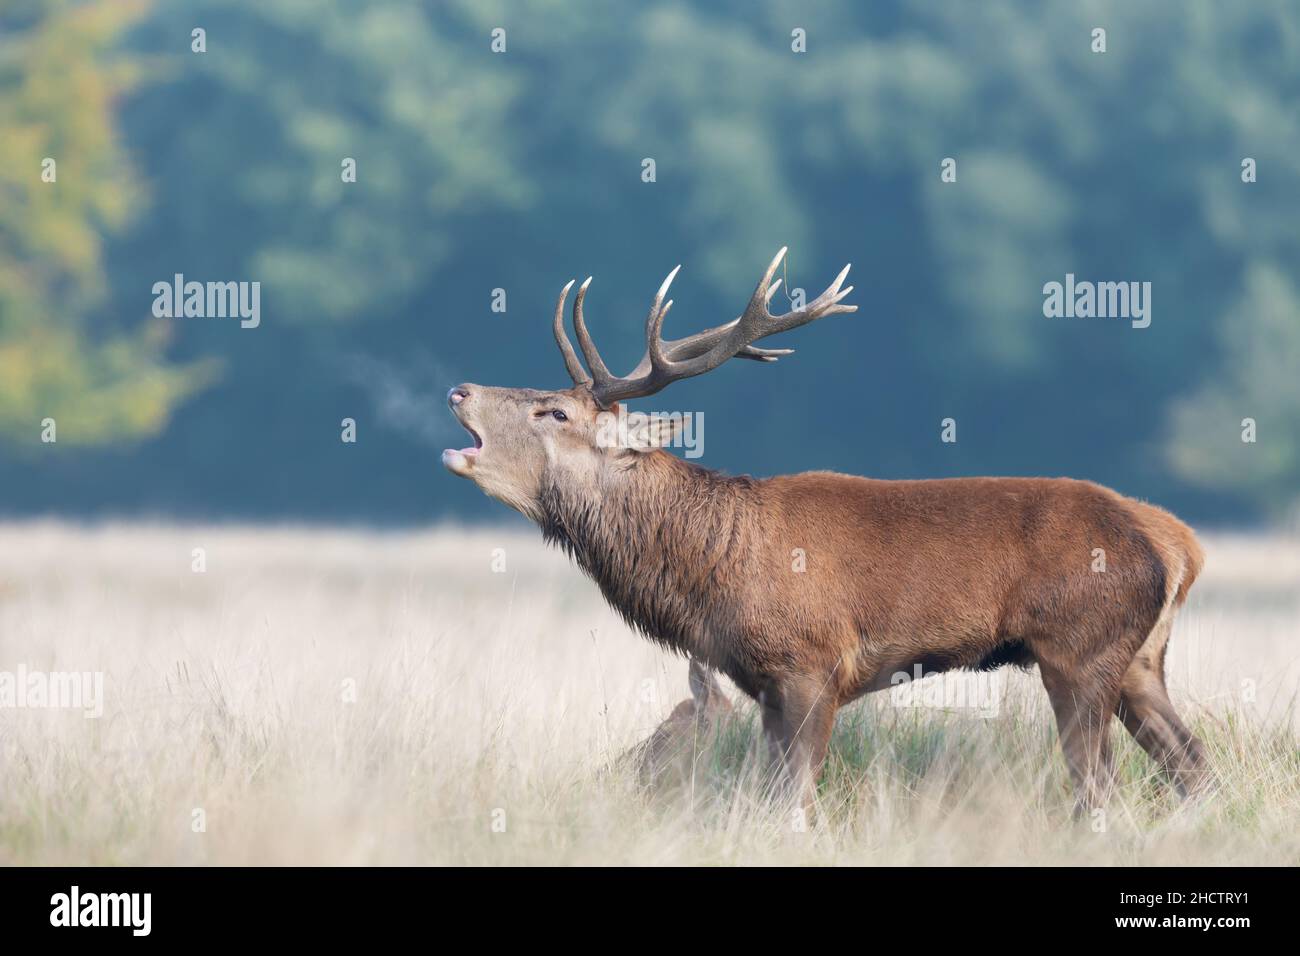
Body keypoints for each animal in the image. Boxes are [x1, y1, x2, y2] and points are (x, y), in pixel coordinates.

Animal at [442, 248, 1209, 813]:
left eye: (555, 413)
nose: (459, 389)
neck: (710, 575)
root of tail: (1179, 545)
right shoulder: (762, 684)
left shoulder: (811, 664)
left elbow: (792, 803)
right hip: (1139, 660)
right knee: (1193, 765)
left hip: (1080, 649)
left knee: (1102, 789)